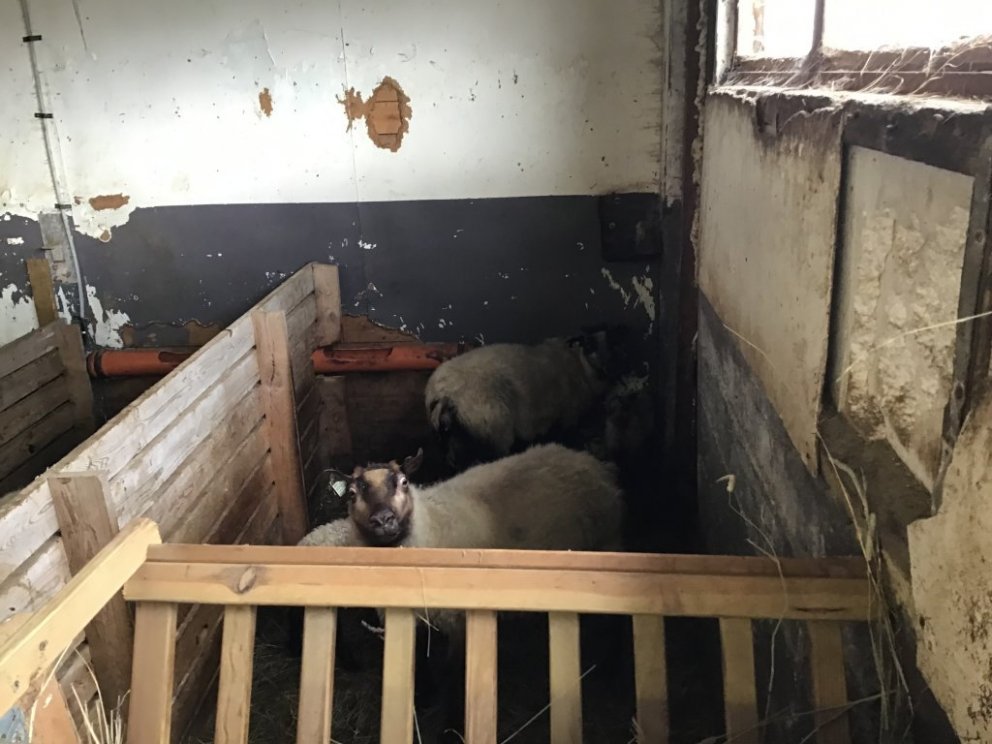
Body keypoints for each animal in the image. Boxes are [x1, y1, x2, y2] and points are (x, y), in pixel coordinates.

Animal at [424, 326, 627, 471]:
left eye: (617, 346)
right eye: (589, 346)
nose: (608, 369)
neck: (581, 367)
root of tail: (444, 394)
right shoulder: (567, 417)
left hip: (452, 439)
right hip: (495, 430)